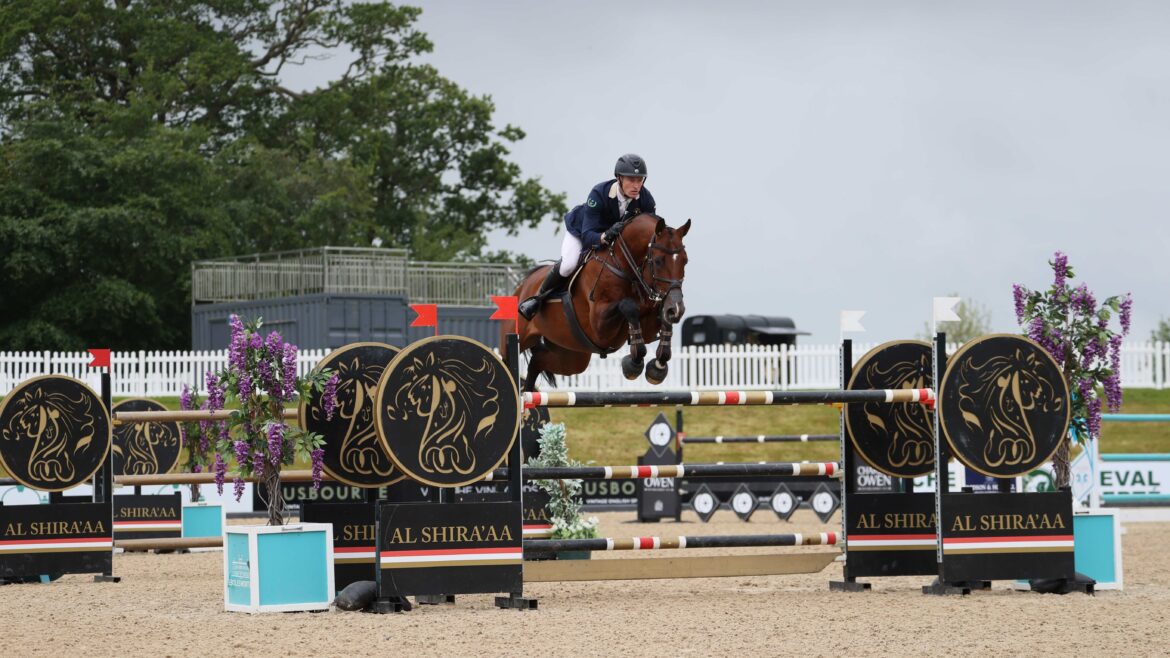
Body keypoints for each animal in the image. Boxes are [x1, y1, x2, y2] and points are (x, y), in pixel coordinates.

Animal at [500, 213, 683, 388]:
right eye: (658, 261)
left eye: (685, 261)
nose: (676, 308)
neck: (623, 266)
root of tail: (523, 285)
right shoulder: (600, 326)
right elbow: (628, 306)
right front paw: (634, 363)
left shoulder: (647, 325)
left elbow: (659, 318)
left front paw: (658, 367)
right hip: (517, 339)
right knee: (508, 363)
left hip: (571, 354)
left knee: (537, 361)